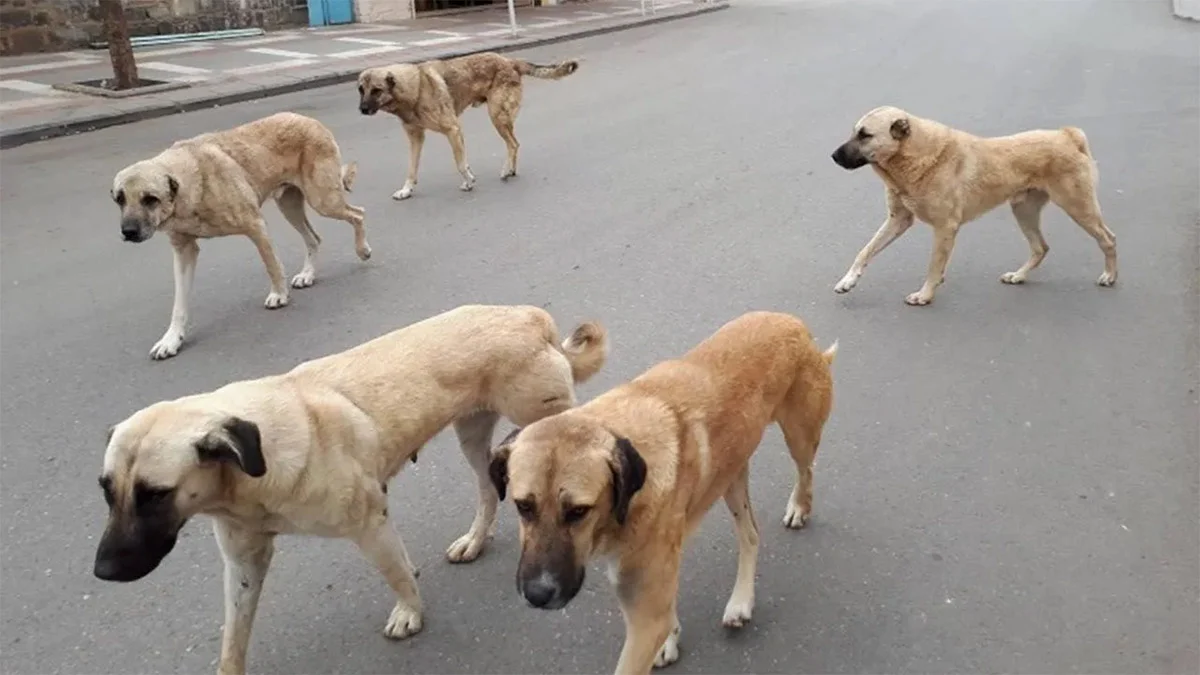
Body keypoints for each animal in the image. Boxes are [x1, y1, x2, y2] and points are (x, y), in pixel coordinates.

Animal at [91, 305, 609, 672]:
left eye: (155, 493)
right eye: (107, 490)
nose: (103, 572)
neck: (252, 467)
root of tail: (528, 315)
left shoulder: (370, 524)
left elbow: (396, 574)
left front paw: (409, 611)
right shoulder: (243, 562)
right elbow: (232, 639)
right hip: (473, 434)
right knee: (487, 491)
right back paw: (475, 540)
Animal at [115, 112, 374, 360]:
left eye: (150, 199)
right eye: (119, 199)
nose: (128, 232)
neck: (190, 184)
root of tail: (309, 120)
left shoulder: (256, 226)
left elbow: (272, 265)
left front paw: (279, 295)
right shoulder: (184, 250)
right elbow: (179, 303)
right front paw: (171, 339)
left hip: (323, 200)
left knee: (358, 214)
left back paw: (362, 250)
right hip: (289, 205)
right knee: (314, 238)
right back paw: (308, 274)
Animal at [355, 52, 580, 199]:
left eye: (376, 90)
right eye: (360, 89)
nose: (362, 109)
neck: (415, 88)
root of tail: (510, 61)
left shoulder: (453, 129)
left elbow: (460, 163)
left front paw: (469, 181)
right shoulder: (416, 138)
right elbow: (412, 168)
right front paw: (407, 190)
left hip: (497, 117)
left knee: (513, 144)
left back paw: (506, 170)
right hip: (502, 118)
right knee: (513, 144)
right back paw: (511, 170)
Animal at [487, 309, 835, 672]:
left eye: (579, 511)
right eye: (523, 506)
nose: (537, 594)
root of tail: (793, 323)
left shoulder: (645, 617)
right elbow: (668, 610)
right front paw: (670, 639)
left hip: (800, 436)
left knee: (807, 470)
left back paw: (799, 506)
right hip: (732, 474)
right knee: (750, 533)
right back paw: (741, 602)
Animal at [830, 105, 1118, 305]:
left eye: (865, 135)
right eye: (855, 132)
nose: (832, 156)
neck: (916, 157)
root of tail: (1067, 135)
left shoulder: (945, 227)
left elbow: (933, 265)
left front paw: (925, 294)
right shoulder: (897, 220)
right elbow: (865, 251)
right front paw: (848, 281)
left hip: (1078, 207)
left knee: (1108, 239)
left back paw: (1110, 276)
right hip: (1024, 210)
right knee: (1041, 248)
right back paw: (1018, 276)